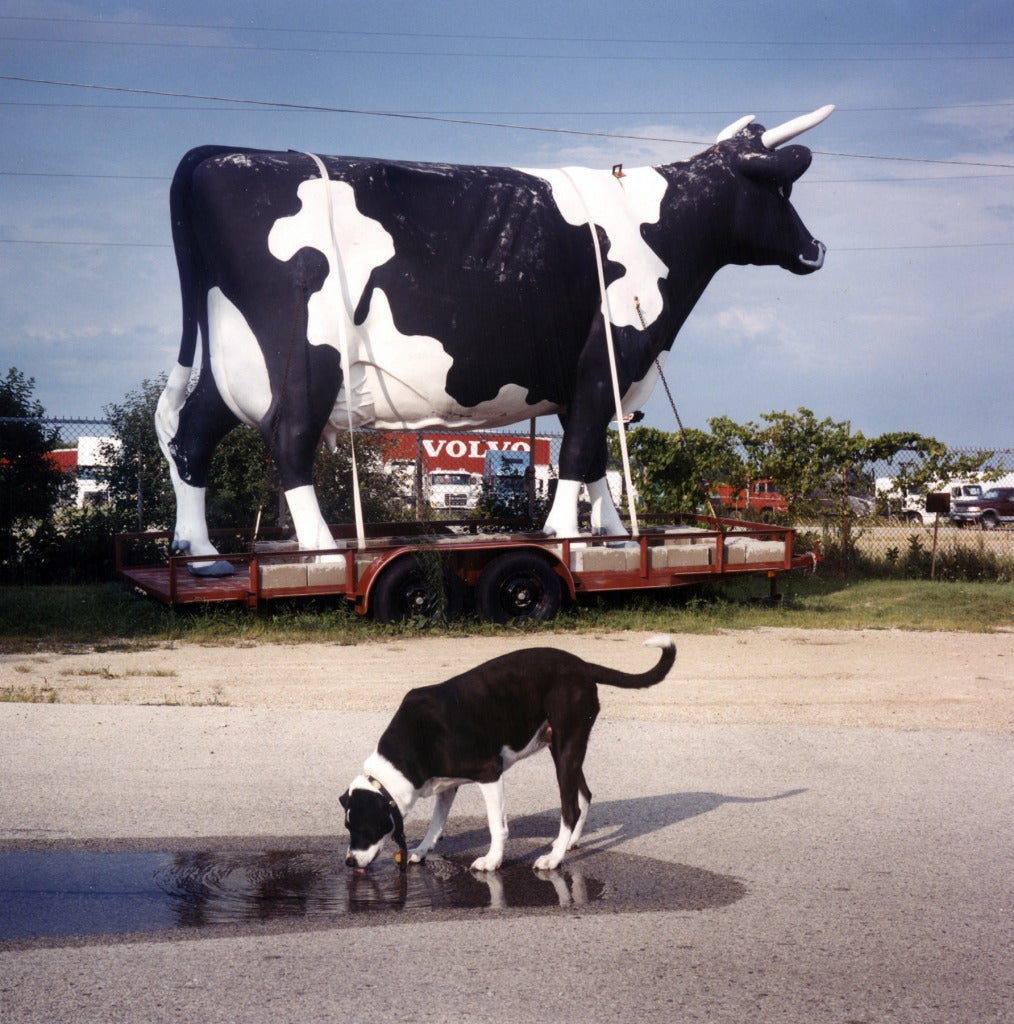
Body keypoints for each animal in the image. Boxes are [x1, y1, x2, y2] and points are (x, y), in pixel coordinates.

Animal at [342, 634, 676, 876]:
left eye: (364, 828)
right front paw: (422, 850)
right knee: (584, 796)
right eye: (347, 828)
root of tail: (582, 665)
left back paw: (554, 859)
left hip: (566, 749)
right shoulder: (447, 785)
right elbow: (436, 825)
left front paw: (492, 861)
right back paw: (567, 842)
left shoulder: (489, 773)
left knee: (570, 808)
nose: (349, 862)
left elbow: (496, 825)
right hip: (564, 750)